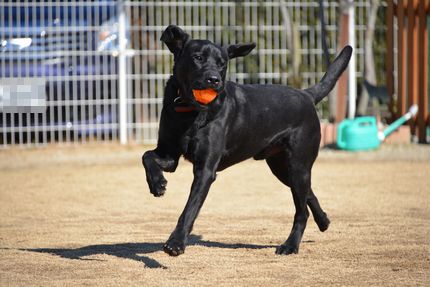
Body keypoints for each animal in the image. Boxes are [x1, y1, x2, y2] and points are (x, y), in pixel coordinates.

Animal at [143, 25, 352, 258]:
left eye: (222, 63)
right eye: (197, 57)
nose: (214, 79)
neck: (189, 112)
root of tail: (306, 95)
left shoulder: (205, 170)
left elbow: (189, 209)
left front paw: (176, 243)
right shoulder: (169, 154)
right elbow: (147, 156)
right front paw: (157, 184)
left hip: (298, 165)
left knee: (301, 211)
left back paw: (290, 245)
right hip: (282, 168)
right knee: (308, 195)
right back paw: (323, 221)